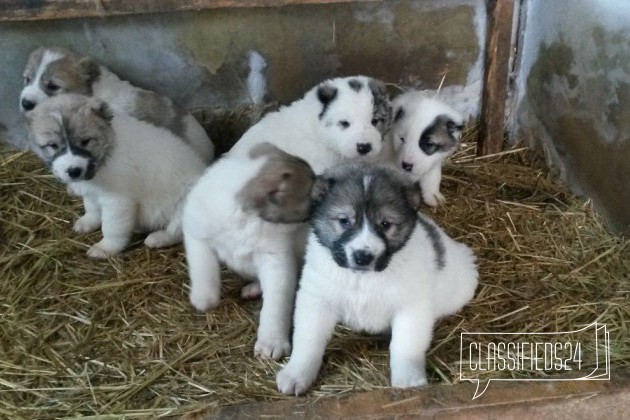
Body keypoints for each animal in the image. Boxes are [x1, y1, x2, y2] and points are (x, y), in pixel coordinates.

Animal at [25, 94, 206, 258]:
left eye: (85, 141)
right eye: (53, 145)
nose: (74, 171)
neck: (108, 149)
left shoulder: (117, 201)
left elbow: (112, 227)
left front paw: (105, 248)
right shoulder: (92, 192)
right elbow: (91, 208)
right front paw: (88, 222)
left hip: (185, 204)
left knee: (178, 231)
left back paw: (158, 238)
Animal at [183, 144, 316, 360]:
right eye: (309, 193)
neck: (248, 218)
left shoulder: (276, 262)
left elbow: (275, 305)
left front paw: (272, 340)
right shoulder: (197, 233)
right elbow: (204, 269)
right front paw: (204, 298)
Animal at [276, 163, 478, 394]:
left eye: (385, 224)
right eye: (344, 221)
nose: (363, 256)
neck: (362, 279)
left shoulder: (411, 308)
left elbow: (405, 346)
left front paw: (408, 381)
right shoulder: (316, 299)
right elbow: (308, 340)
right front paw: (296, 374)